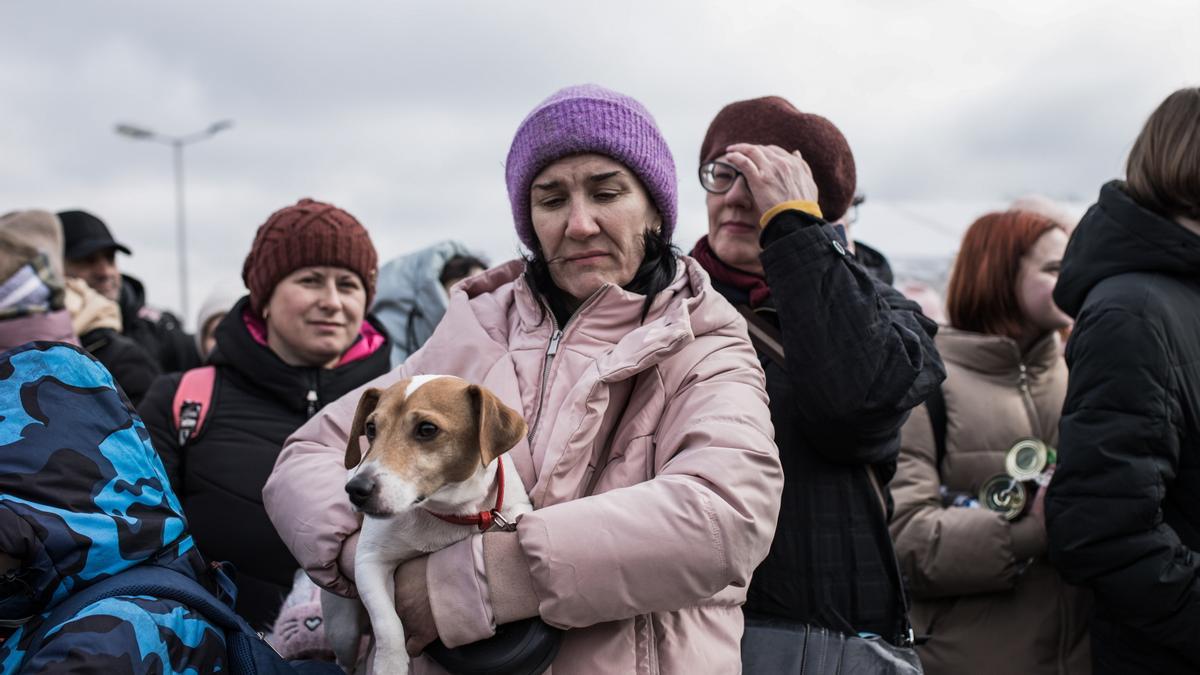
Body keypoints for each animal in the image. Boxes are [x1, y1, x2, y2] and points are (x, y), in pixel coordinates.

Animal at [319, 372, 530, 672]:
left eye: (427, 429)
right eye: (370, 428)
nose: (355, 489)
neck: (447, 512)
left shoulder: (514, 511)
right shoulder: (369, 563)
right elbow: (386, 621)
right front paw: (390, 665)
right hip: (343, 630)